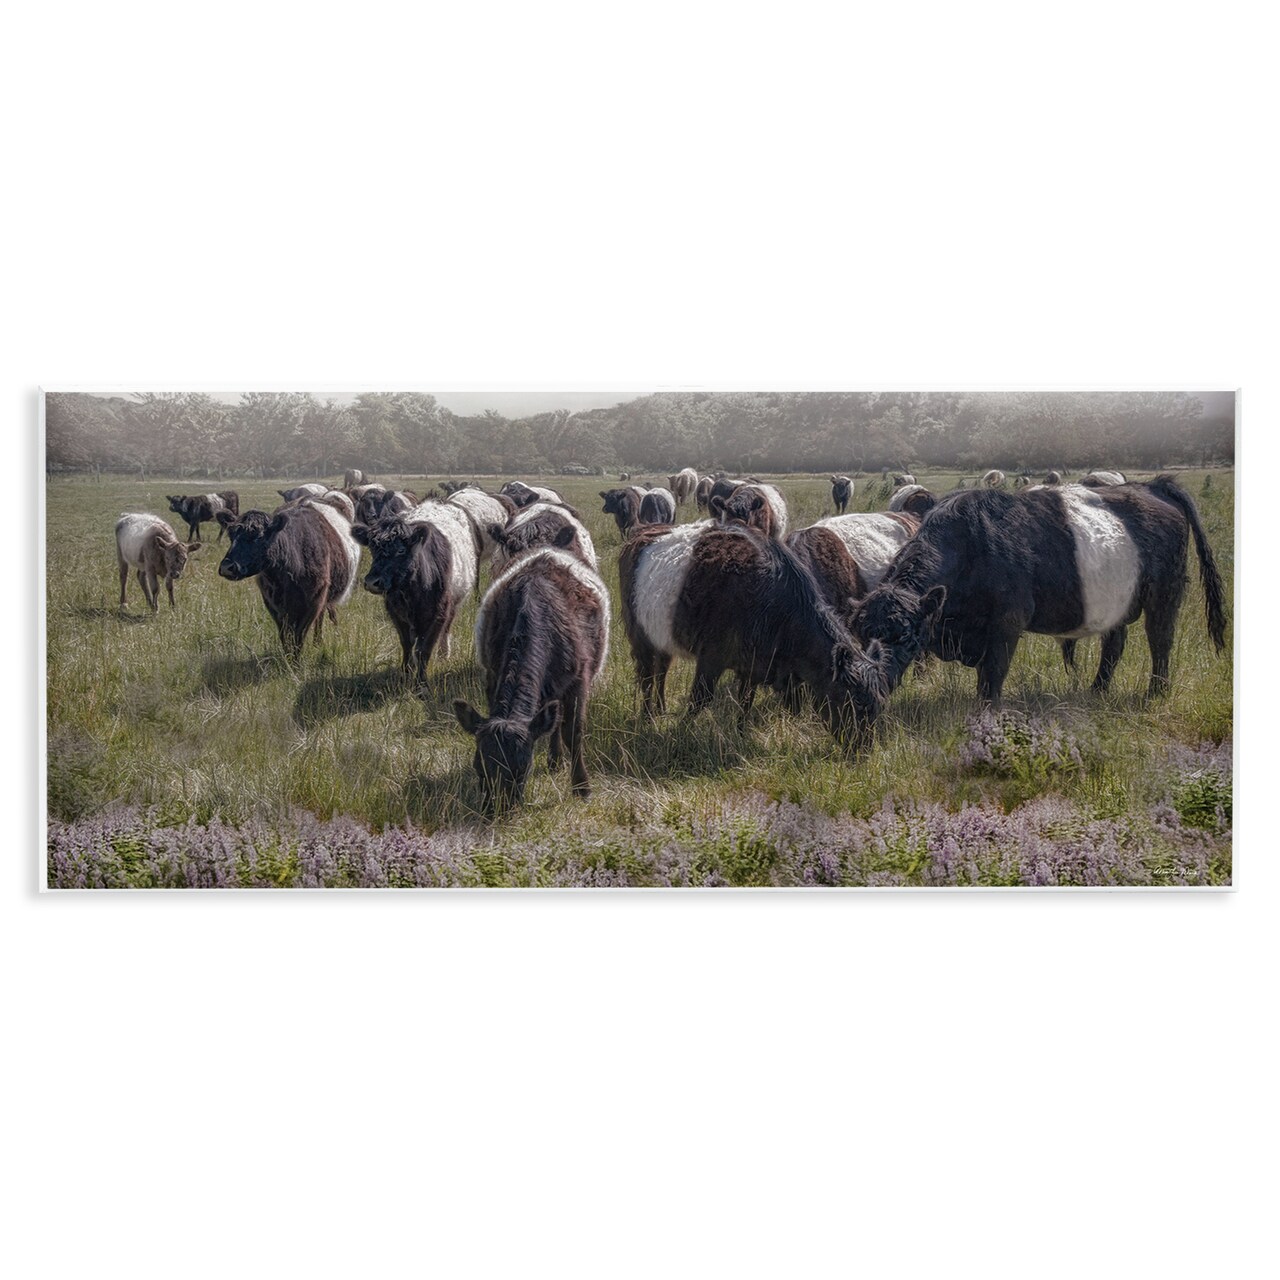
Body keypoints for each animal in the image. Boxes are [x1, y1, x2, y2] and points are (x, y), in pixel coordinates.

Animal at [216, 503, 360, 658]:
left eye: (258, 536)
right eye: (231, 536)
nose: (226, 567)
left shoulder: (313, 601)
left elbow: (299, 634)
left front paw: (295, 660)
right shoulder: (272, 604)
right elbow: (284, 634)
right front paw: (288, 656)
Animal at [350, 500, 479, 680]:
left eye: (401, 550)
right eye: (372, 548)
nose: (371, 582)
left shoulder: (438, 614)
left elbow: (424, 649)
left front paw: (421, 680)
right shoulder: (396, 612)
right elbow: (406, 644)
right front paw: (406, 672)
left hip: (455, 601)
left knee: (446, 628)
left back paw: (443, 654)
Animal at [454, 547, 610, 809]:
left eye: (522, 768)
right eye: (479, 767)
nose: (495, 810)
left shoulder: (578, 683)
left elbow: (573, 733)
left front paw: (582, 787)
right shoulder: (492, 676)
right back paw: (554, 760)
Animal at [618, 522, 906, 743]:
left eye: (878, 705)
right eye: (854, 703)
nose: (862, 748)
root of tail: (642, 532)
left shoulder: (753, 666)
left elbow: (745, 701)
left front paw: (740, 732)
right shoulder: (711, 657)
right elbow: (700, 698)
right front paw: (682, 730)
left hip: (661, 637)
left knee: (661, 671)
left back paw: (661, 708)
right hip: (641, 638)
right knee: (647, 677)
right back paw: (648, 716)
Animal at [850, 476, 1227, 706]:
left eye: (906, 636)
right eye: (861, 635)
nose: (873, 682)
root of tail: (1153, 487)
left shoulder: (1007, 621)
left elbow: (992, 674)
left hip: (1164, 594)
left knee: (1160, 641)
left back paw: (1156, 693)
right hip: (1116, 601)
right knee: (1114, 645)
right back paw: (1097, 690)